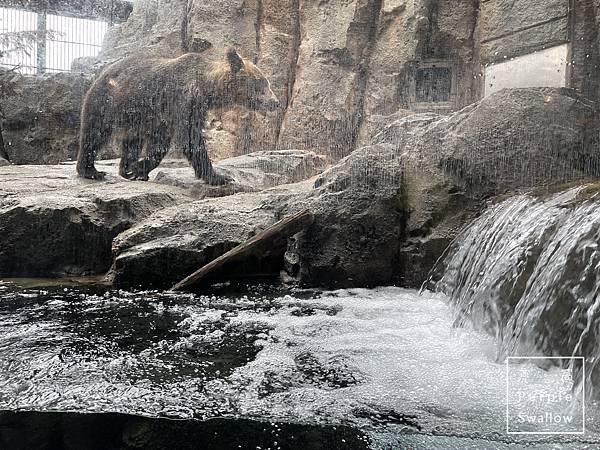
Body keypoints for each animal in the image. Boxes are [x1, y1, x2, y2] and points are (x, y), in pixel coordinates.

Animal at [76, 48, 280, 185]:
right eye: (262, 82)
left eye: (267, 82)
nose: (276, 102)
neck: (207, 87)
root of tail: (100, 75)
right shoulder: (185, 100)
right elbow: (190, 138)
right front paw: (219, 176)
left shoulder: (164, 115)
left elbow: (159, 144)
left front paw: (139, 168)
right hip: (107, 103)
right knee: (94, 134)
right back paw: (91, 170)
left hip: (133, 115)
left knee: (132, 141)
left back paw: (125, 167)